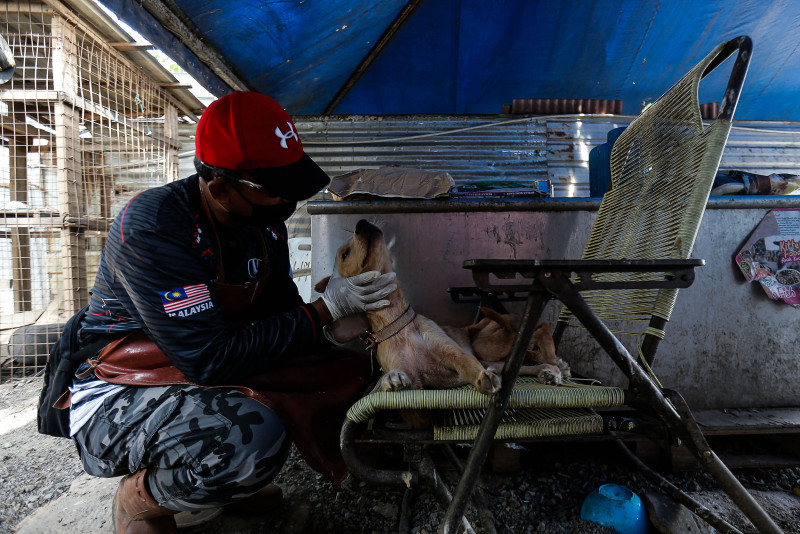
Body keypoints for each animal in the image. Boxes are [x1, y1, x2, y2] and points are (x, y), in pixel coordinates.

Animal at [312, 219, 568, 398]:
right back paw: (549, 371)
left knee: (540, 328)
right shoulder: (415, 383)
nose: (361, 222)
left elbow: (468, 365)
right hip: (492, 357)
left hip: (485, 344)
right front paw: (391, 380)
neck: (397, 324)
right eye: (345, 254)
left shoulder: (454, 354)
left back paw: (556, 361)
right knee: (523, 361)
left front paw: (482, 379)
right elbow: (398, 376)